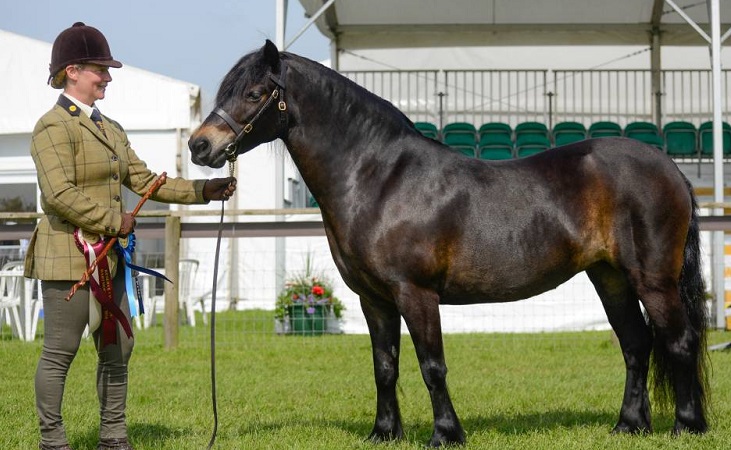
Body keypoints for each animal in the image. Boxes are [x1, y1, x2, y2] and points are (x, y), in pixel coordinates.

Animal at [187, 41, 708, 446]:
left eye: (254, 93)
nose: (199, 146)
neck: (380, 179)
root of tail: (669, 168)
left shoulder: (415, 293)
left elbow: (431, 365)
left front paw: (445, 434)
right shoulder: (374, 299)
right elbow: (385, 366)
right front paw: (383, 433)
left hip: (653, 280)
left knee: (678, 341)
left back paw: (686, 426)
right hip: (610, 278)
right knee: (636, 345)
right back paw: (628, 426)